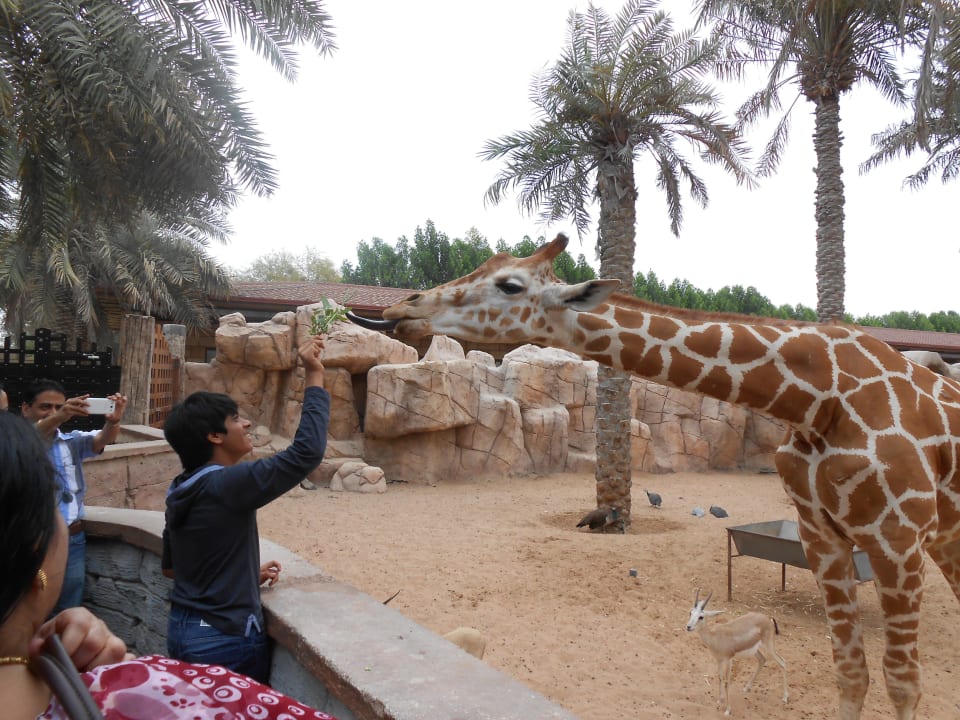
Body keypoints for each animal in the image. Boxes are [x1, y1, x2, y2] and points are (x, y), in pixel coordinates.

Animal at [372, 234, 960, 720]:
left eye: (510, 284)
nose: (402, 310)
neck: (815, 399)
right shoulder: (823, 540)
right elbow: (851, 673)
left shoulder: (897, 541)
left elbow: (903, 683)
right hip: (946, 538)